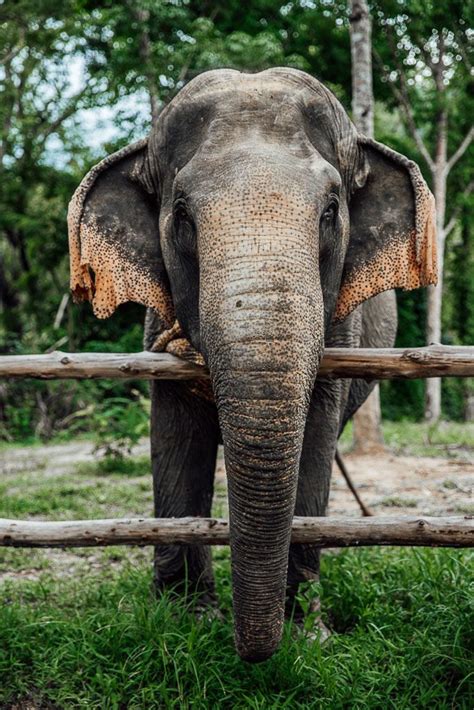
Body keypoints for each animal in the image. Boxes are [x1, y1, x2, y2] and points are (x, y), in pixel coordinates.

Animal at [67, 69, 436, 664]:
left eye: (331, 210)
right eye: (182, 215)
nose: (252, 654)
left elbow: (314, 436)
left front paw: (306, 632)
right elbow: (175, 435)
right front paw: (186, 619)